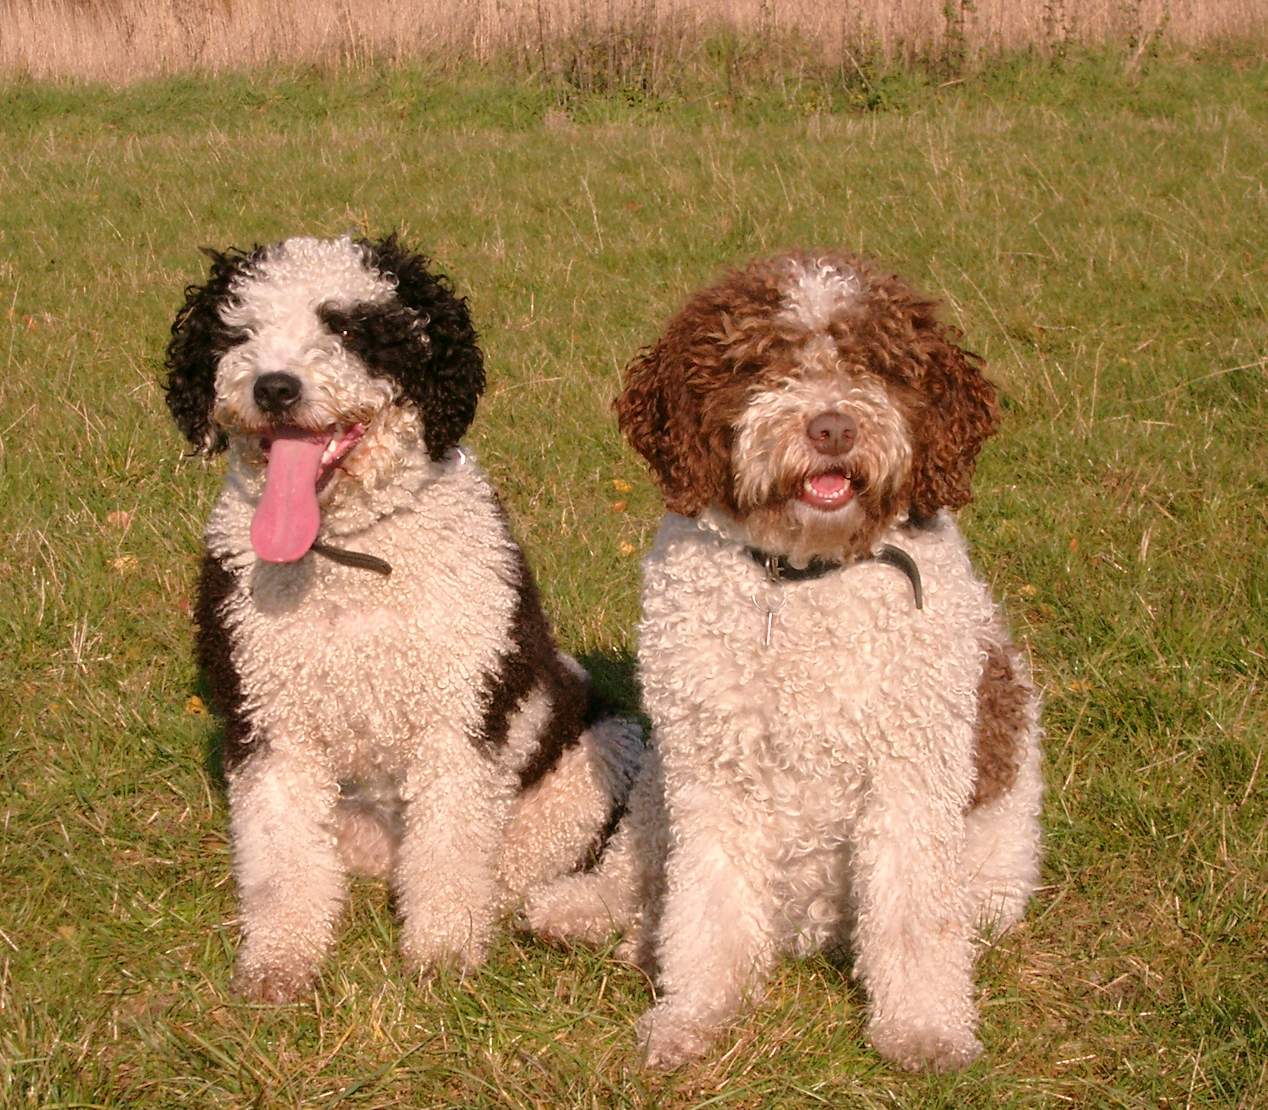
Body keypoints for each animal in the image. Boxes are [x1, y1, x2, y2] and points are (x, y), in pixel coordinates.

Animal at [166, 232, 644, 999]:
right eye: (238, 333)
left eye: (349, 329)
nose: (274, 387)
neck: (352, 560)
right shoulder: (271, 728)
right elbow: (279, 862)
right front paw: (279, 963)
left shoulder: (458, 726)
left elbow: (450, 855)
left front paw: (443, 952)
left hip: (595, 757)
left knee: (509, 865)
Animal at [524, 253, 1039, 1075]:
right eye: (762, 364)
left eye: (876, 364)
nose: (831, 426)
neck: (802, 581)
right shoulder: (712, 774)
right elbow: (707, 909)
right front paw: (693, 1016)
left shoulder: (909, 779)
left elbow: (913, 920)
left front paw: (924, 1029)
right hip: (661, 783)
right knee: (640, 866)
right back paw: (589, 912)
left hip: (991, 880)